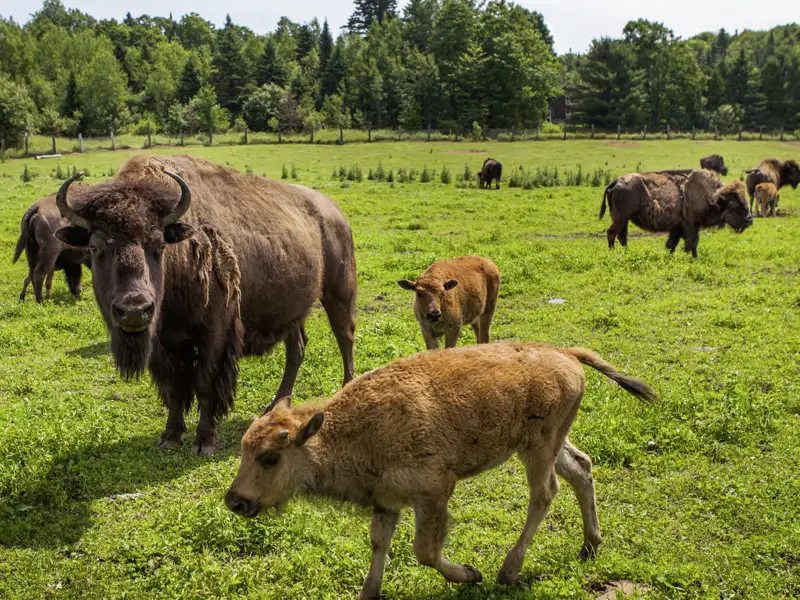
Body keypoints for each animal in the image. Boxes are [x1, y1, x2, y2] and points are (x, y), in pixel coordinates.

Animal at [54, 155, 357, 455]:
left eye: (159, 245)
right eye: (94, 248)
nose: (134, 310)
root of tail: (332, 210)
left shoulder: (215, 334)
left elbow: (205, 383)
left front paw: (205, 441)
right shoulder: (164, 344)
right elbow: (174, 388)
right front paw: (171, 436)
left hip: (338, 292)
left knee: (345, 336)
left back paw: (345, 390)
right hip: (292, 312)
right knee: (297, 349)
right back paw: (275, 405)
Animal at [600, 169, 752, 257]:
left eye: (745, 200)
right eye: (734, 204)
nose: (749, 220)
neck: (709, 197)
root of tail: (615, 182)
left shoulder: (678, 227)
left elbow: (673, 244)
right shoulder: (689, 225)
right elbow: (691, 242)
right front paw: (692, 258)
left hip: (624, 219)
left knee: (622, 236)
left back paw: (627, 253)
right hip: (620, 218)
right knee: (612, 233)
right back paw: (613, 253)